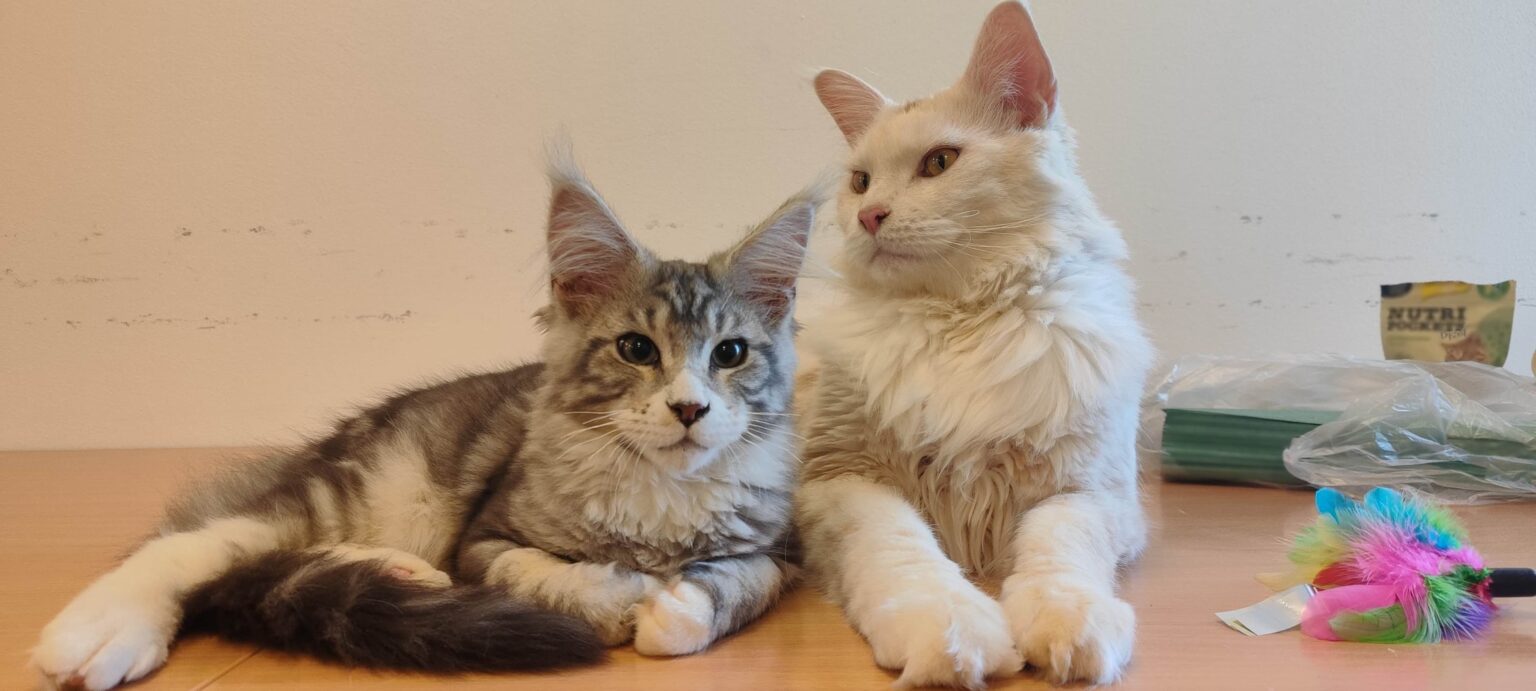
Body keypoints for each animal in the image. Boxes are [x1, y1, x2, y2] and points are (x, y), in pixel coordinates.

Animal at [32, 156, 817, 691]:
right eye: (636, 349)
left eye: (731, 353)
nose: (689, 408)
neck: (662, 503)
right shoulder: (486, 537)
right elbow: (561, 580)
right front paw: (622, 591)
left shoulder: (777, 552)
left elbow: (731, 588)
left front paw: (674, 605)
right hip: (375, 484)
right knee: (200, 538)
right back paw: (101, 627)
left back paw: (402, 573)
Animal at [796, 2, 1152, 688]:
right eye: (860, 181)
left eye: (939, 163)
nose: (869, 216)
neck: (960, 317)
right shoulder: (838, 479)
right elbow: (902, 551)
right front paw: (949, 634)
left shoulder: (1090, 491)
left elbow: (1059, 550)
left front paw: (1071, 622)